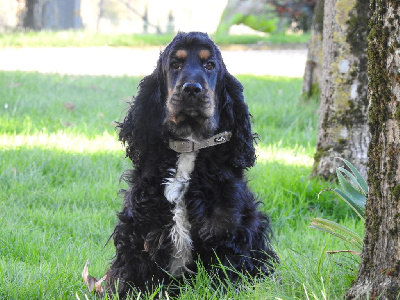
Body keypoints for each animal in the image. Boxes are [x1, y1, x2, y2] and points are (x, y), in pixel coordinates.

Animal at [106, 31, 276, 296]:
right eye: (175, 64)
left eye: (210, 65)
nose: (192, 89)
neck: (189, 146)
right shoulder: (138, 233)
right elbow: (127, 280)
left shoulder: (226, 235)